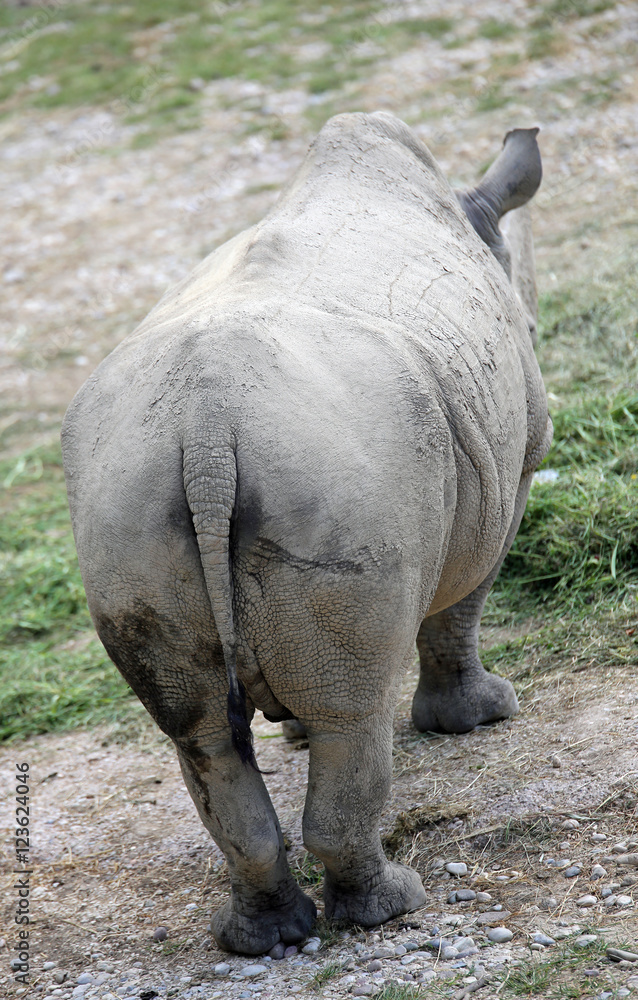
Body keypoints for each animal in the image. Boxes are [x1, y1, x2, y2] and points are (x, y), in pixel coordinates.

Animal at [62, 112, 551, 955]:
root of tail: (206, 426)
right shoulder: (509, 472)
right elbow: (462, 605)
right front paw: (482, 717)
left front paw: (289, 728)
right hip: (341, 472)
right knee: (353, 717)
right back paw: (392, 906)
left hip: (125, 503)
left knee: (201, 736)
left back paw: (259, 938)